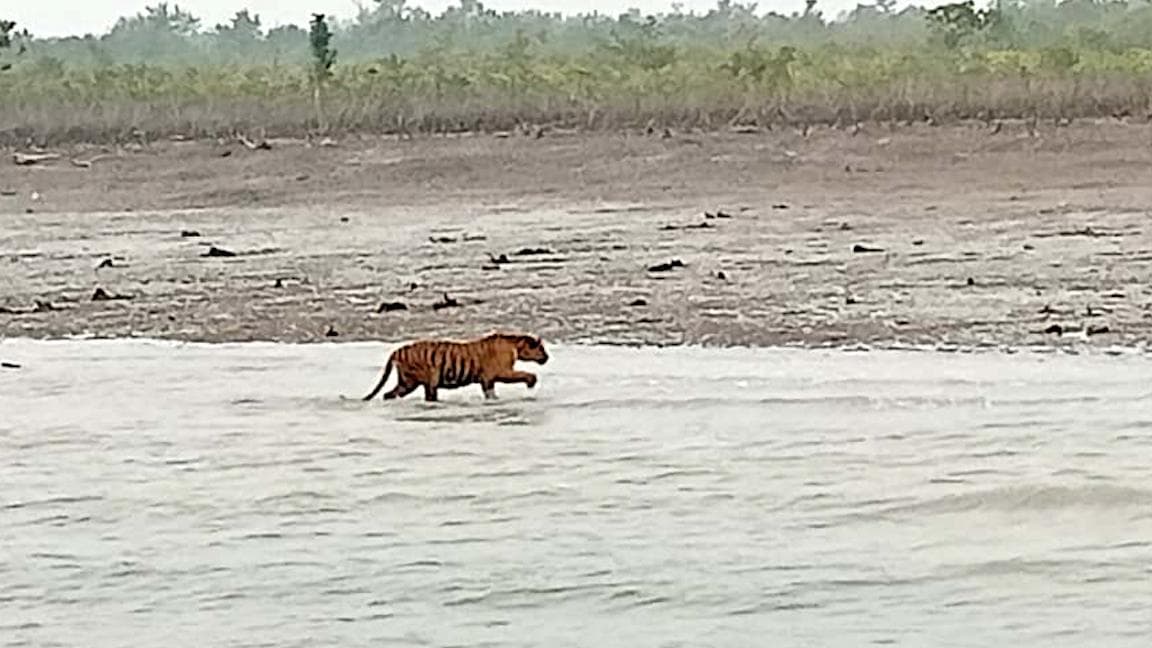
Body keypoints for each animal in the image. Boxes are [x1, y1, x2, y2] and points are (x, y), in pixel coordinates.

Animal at [361, 331, 549, 402]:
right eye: (541, 348)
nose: (547, 357)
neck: (515, 344)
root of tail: (397, 351)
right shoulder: (502, 371)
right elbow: (526, 373)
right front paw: (531, 382)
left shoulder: (488, 380)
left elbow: (490, 393)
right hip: (426, 380)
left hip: (407, 382)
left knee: (388, 394)